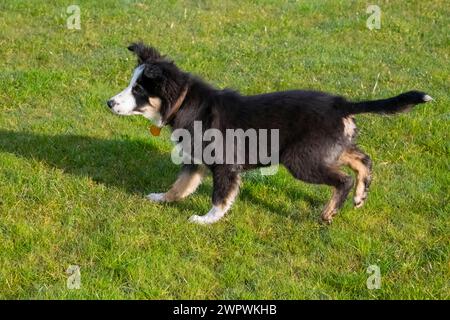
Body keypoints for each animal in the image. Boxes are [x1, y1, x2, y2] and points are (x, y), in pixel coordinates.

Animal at [106, 42, 432, 225]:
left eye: (138, 90)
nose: (108, 102)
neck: (185, 103)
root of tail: (341, 103)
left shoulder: (225, 164)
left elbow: (219, 196)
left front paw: (205, 220)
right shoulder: (194, 160)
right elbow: (181, 186)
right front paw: (161, 198)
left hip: (301, 159)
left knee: (343, 178)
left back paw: (329, 213)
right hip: (326, 148)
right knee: (362, 158)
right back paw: (361, 195)